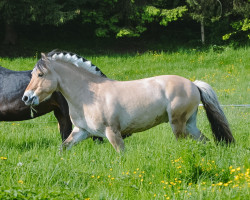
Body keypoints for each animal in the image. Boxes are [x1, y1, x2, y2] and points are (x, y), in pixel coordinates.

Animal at [21, 51, 234, 152]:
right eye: (32, 74)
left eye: (40, 74)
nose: (26, 97)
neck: (89, 95)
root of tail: (193, 84)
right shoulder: (82, 131)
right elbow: (62, 148)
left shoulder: (112, 133)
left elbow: (122, 155)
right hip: (190, 125)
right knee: (205, 141)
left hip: (178, 125)